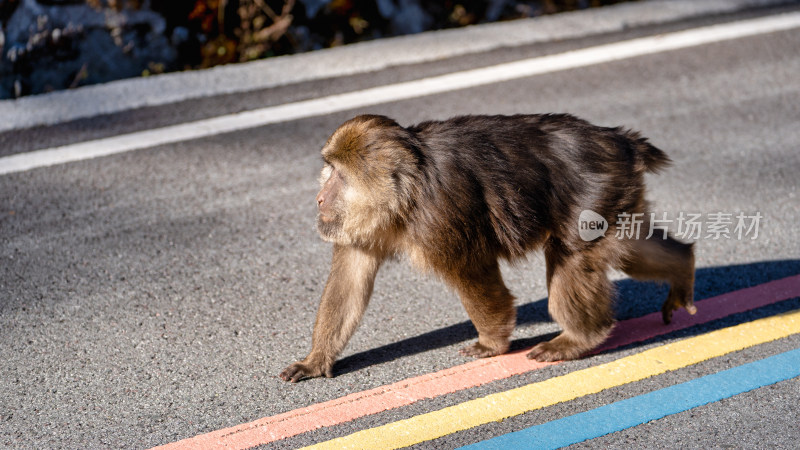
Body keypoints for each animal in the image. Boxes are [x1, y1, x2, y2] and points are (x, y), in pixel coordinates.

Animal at [280, 114, 692, 382]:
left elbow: (473, 272)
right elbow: (349, 283)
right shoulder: (357, 225)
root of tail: (620, 141)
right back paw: (683, 266)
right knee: (631, 247)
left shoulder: (440, 217)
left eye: (339, 174)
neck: (406, 193)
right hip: (618, 198)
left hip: (596, 196)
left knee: (572, 256)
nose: (319, 198)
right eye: (328, 168)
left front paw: (492, 343)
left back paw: (579, 338)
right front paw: (315, 361)